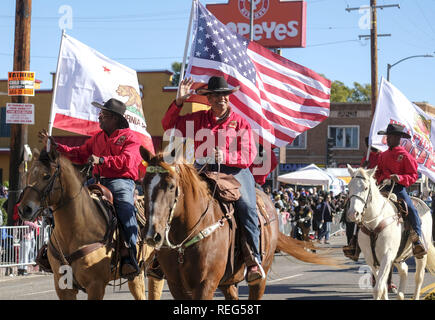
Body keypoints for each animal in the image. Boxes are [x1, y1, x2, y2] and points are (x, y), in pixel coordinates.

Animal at [16, 148, 164, 300]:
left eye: (46, 176)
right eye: (28, 174)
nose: (24, 209)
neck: (75, 231)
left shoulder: (96, 285)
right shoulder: (63, 287)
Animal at [140, 148, 340, 300]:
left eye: (171, 186)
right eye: (143, 184)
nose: (153, 235)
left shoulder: (205, 285)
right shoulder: (176, 286)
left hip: (259, 278)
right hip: (228, 281)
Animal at [348, 165, 435, 300]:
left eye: (365, 188)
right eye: (349, 187)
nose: (353, 214)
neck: (375, 223)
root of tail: (424, 204)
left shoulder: (386, 257)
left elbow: (378, 289)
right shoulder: (371, 260)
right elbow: (382, 288)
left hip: (421, 255)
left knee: (418, 277)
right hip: (398, 256)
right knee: (404, 270)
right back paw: (400, 294)